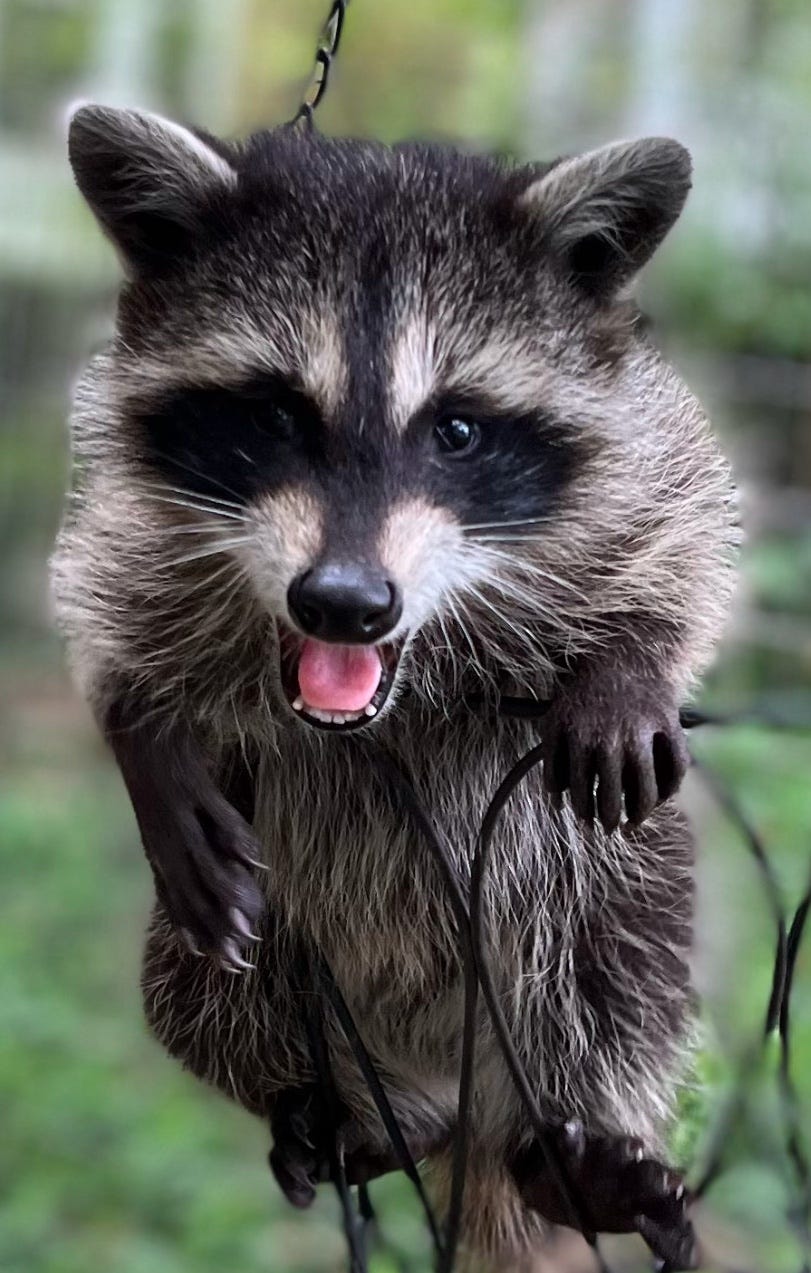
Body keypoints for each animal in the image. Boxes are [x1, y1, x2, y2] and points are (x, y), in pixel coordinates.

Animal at [49, 104, 733, 1267]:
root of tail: (458, 1096)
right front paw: (140, 724)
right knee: (198, 988)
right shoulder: (142, 490)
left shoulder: (627, 418)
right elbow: (103, 567)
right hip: (266, 961)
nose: (343, 603)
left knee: (618, 936)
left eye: (454, 428)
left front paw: (635, 656)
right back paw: (367, 1119)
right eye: (276, 416)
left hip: (584, 923)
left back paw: (576, 1147)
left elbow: (685, 508)